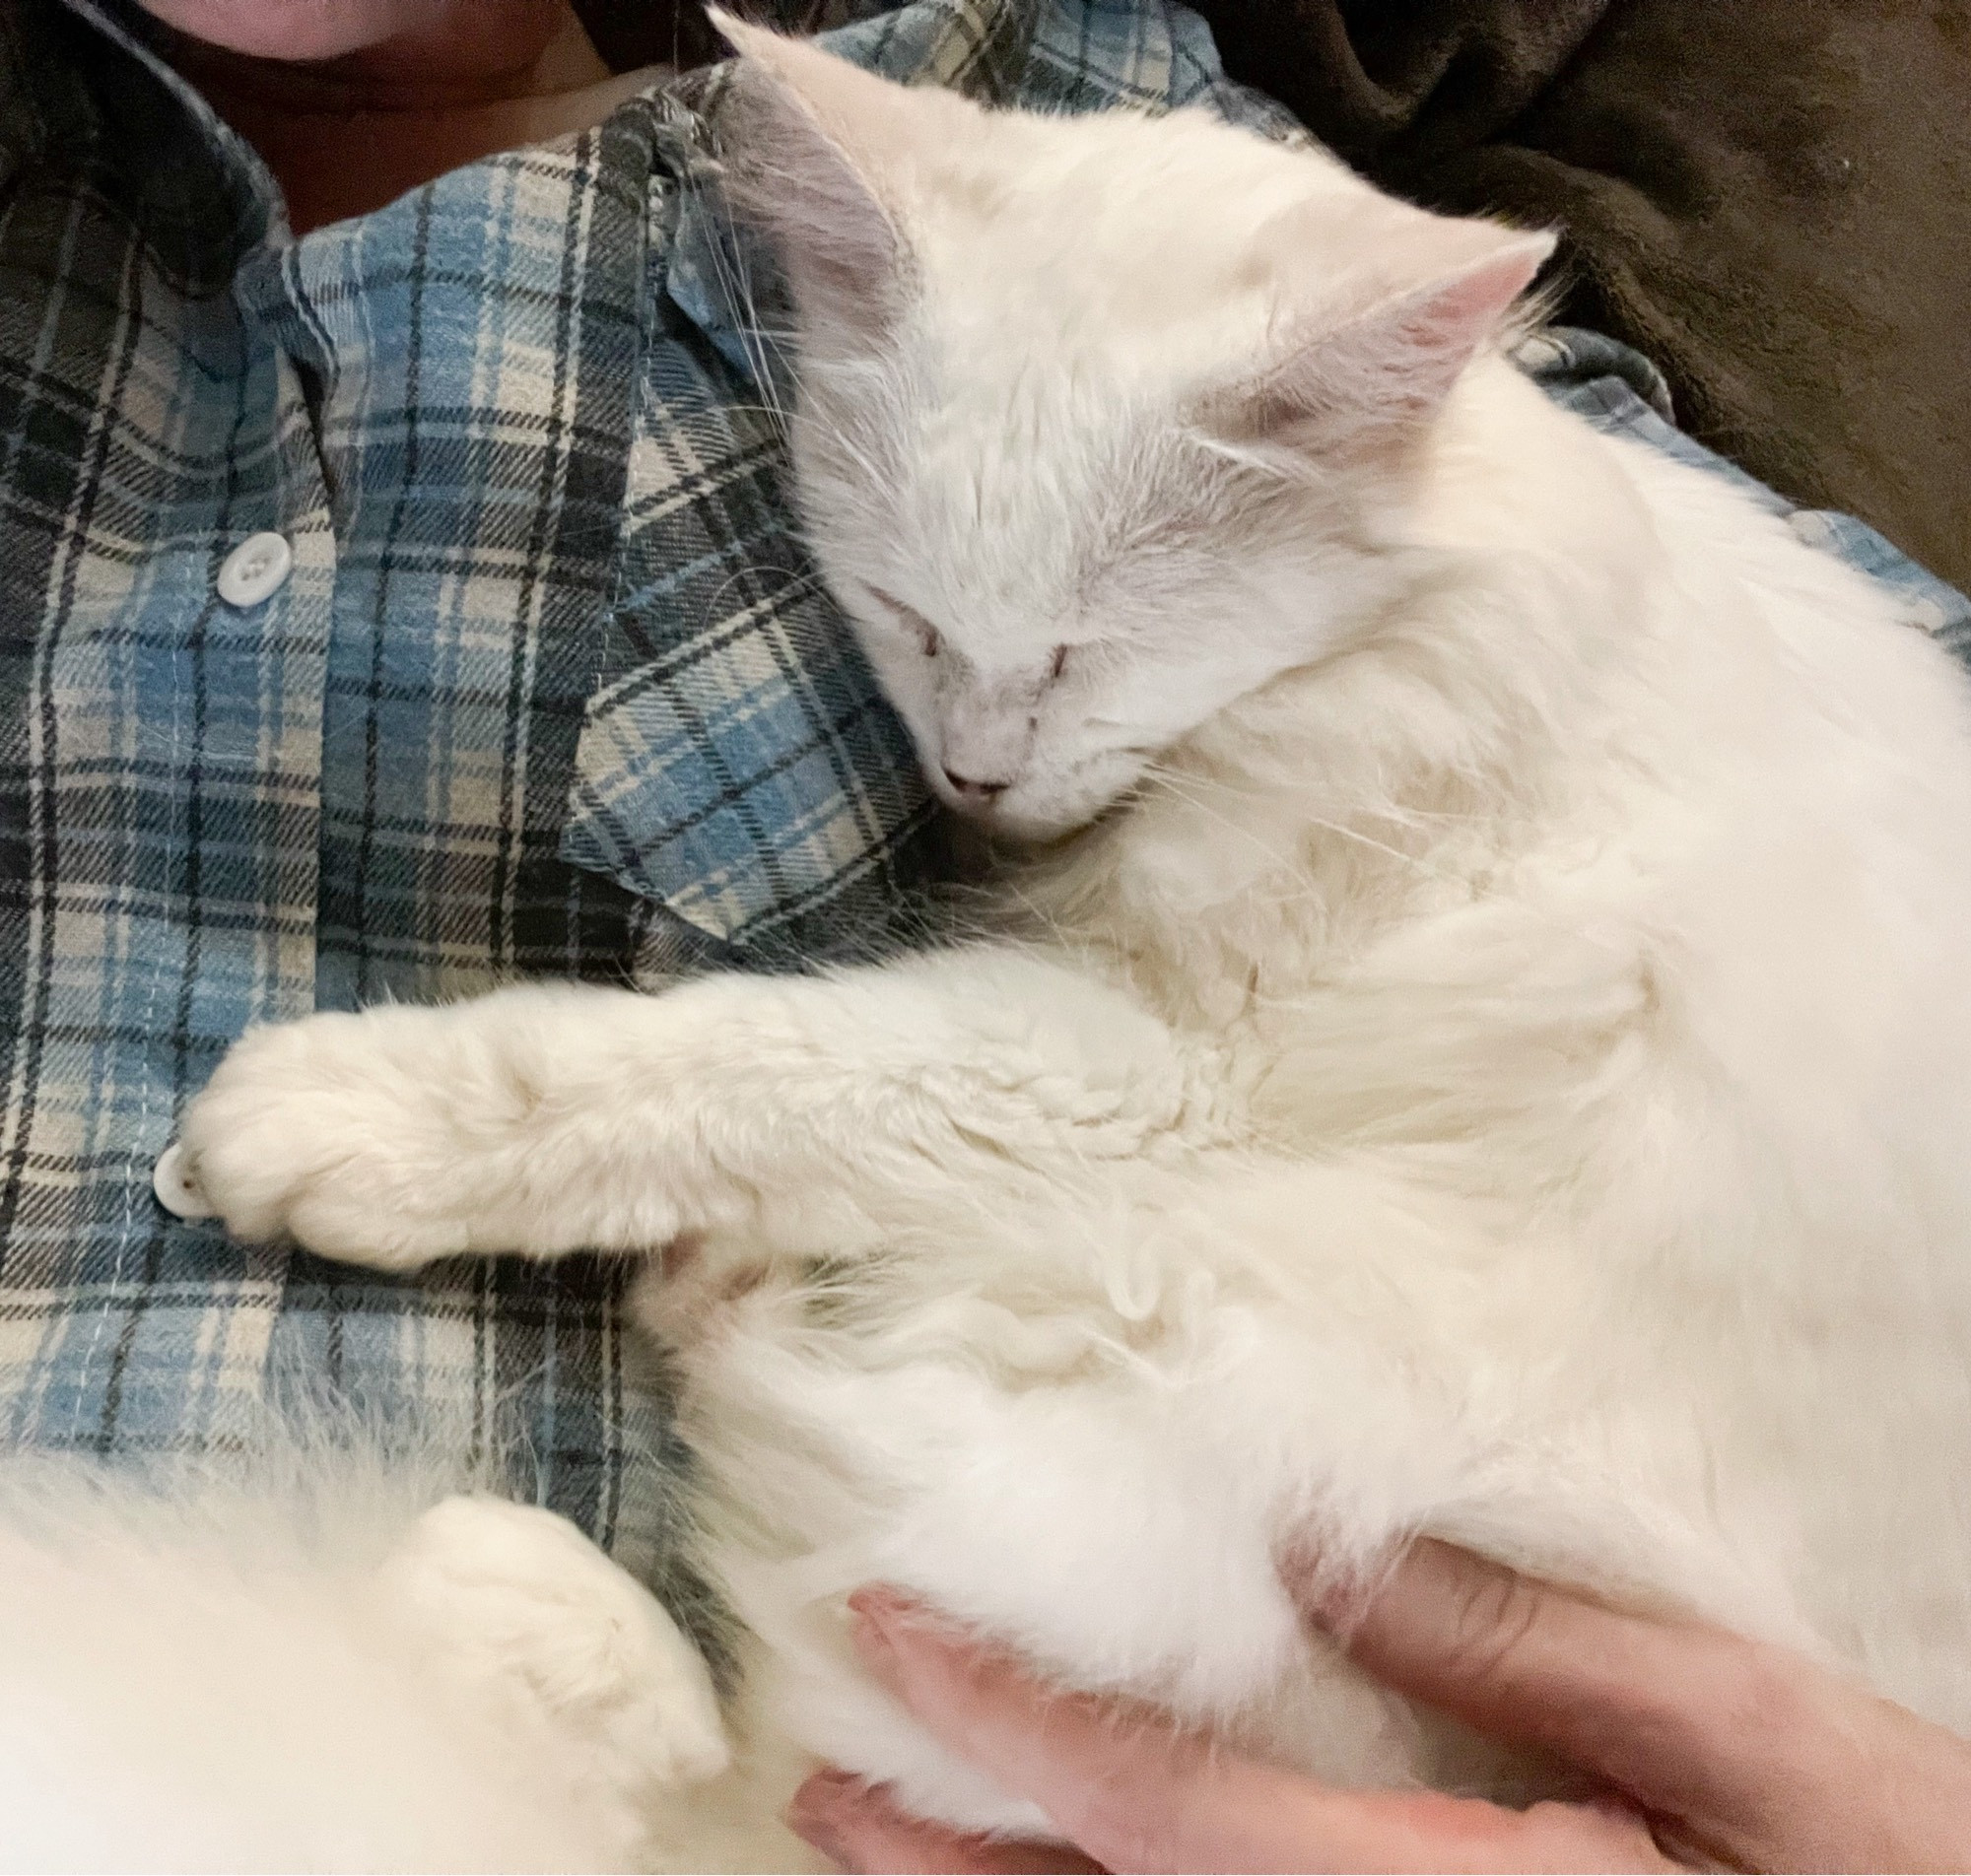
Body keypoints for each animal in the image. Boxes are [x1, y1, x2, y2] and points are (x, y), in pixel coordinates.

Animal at [158, 11, 1971, 1860]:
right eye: (908, 621)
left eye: (1081, 658)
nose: (975, 770)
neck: (1425, 637)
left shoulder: (1151, 1070)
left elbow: (721, 1063)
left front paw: (345, 1118)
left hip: (1188, 1418)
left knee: (802, 1705)